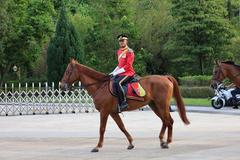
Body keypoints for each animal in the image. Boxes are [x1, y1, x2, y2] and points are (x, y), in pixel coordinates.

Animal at [60, 58, 189, 152]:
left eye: (67, 71)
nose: (61, 86)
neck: (100, 86)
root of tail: (165, 77)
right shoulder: (113, 112)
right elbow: (121, 127)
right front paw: (131, 143)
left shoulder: (104, 111)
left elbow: (102, 128)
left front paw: (98, 146)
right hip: (155, 106)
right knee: (165, 121)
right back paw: (163, 141)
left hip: (161, 105)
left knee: (168, 121)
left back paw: (167, 142)